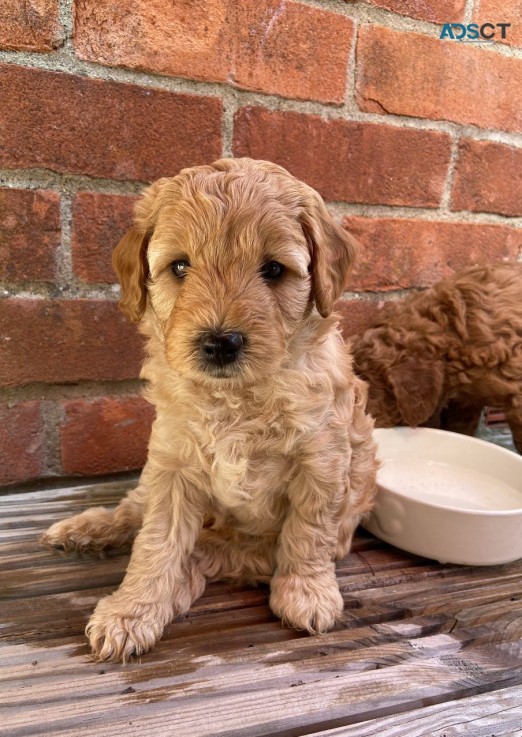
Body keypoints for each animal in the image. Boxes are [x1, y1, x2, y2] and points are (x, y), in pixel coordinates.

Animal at [40, 157, 374, 660]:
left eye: (273, 270)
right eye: (179, 266)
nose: (221, 342)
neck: (236, 396)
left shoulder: (323, 462)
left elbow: (308, 532)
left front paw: (307, 593)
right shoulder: (173, 464)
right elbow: (156, 542)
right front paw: (132, 611)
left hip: (252, 541)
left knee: (212, 553)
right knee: (135, 511)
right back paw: (86, 528)